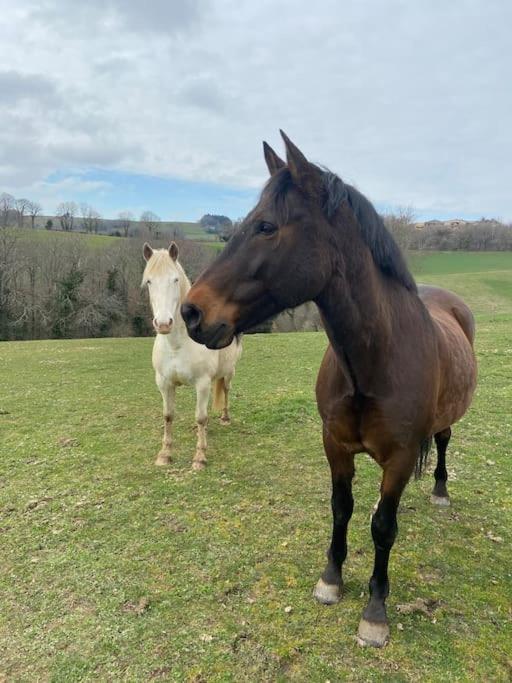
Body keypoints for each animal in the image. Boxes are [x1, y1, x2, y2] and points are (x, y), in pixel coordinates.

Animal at [142, 243, 242, 472]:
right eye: (149, 281)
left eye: (175, 279)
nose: (163, 323)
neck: (177, 344)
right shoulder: (164, 383)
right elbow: (168, 415)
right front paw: (165, 454)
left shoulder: (202, 383)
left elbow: (201, 416)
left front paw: (200, 457)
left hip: (229, 372)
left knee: (226, 391)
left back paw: (225, 418)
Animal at [180, 132, 476, 648]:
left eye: (266, 226)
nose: (191, 313)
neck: (373, 362)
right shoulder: (334, 445)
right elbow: (342, 509)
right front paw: (331, 579)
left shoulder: (401, 456)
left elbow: (383, 528)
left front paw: (375, 610)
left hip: (441, 427)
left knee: (442, 444)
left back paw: (440, 490)